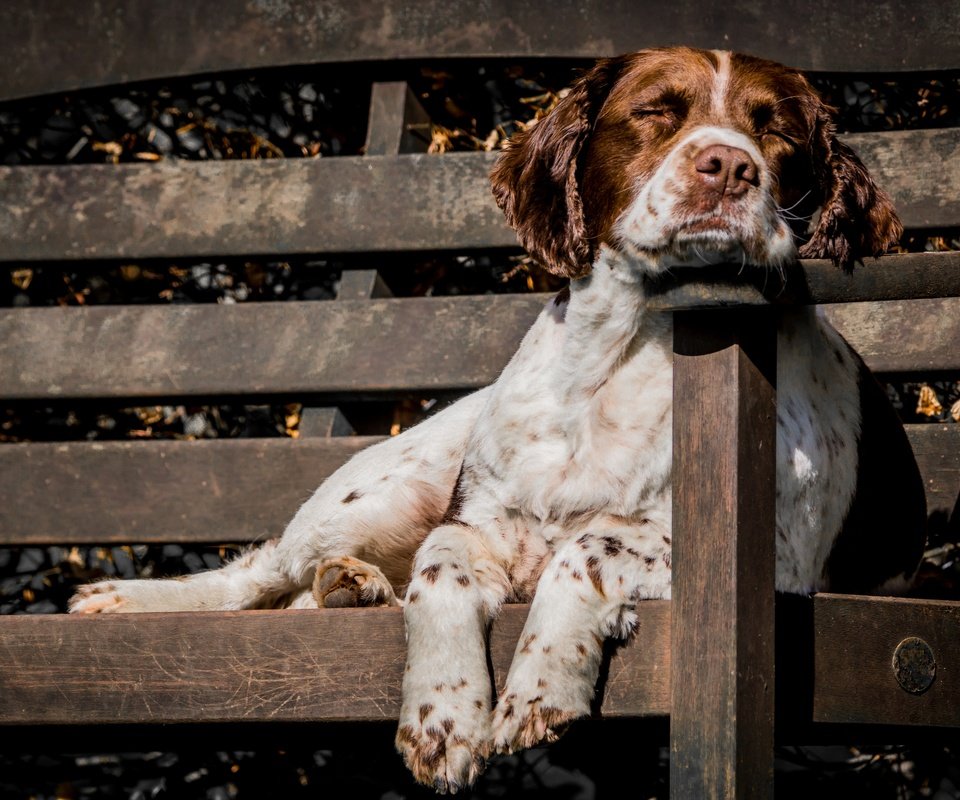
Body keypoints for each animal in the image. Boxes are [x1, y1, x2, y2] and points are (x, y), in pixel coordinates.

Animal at [71, 48, 928, 792]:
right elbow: (438, 571)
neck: (623, 355)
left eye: (776, 128)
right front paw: (442, 717)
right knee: (262, 573)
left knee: (302, 593)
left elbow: (587, 545)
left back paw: (350, 587)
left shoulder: (775, 559)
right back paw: (135, 599)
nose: (728, 165)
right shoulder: (474, 522)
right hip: (378, 491)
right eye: (656, 110)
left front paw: (542, 684)